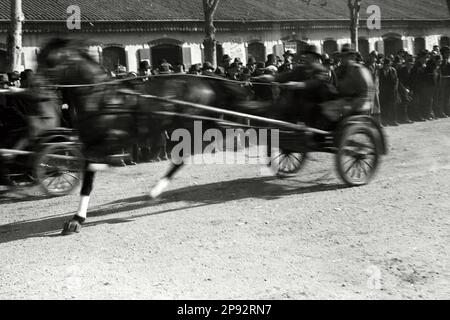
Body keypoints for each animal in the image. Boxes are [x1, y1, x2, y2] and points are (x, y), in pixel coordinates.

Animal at [36, 39, 256, 235]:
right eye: (37, 59)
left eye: (51, 61)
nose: (38, 92)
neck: (101, 99)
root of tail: (205, 82)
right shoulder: (90, 143)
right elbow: (88, 179)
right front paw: (76, 219)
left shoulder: (113, 139)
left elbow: (94, 167)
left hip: (192, 123)